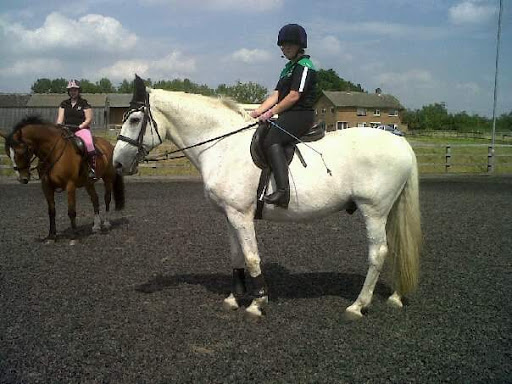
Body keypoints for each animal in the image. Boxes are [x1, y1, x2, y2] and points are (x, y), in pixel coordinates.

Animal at [1, 115, 125, 244]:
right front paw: (51, 236)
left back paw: (106, 223)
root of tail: (109, 145)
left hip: (108, 179)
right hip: (88, 183)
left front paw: (74, 237)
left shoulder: (70, 185)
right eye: (8, 153)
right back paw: (96, 226)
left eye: (22, 151)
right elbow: (51, 211)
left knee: (107, 198)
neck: (53, 152)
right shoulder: (46, 186)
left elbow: (71, 211)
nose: (22, 178)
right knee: (95, 199)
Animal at [114, 76, 422, 320]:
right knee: (395, 248)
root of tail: (400, 142)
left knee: (378, 253)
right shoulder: (230, 214)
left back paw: (358, 306)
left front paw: (257, 302)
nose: (117, 163)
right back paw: (395, 297)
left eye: (135, 119)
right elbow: (236, 255)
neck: (222, 144)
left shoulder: (241, 214)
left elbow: (251, 257)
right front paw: (234, 298)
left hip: (373, 210)